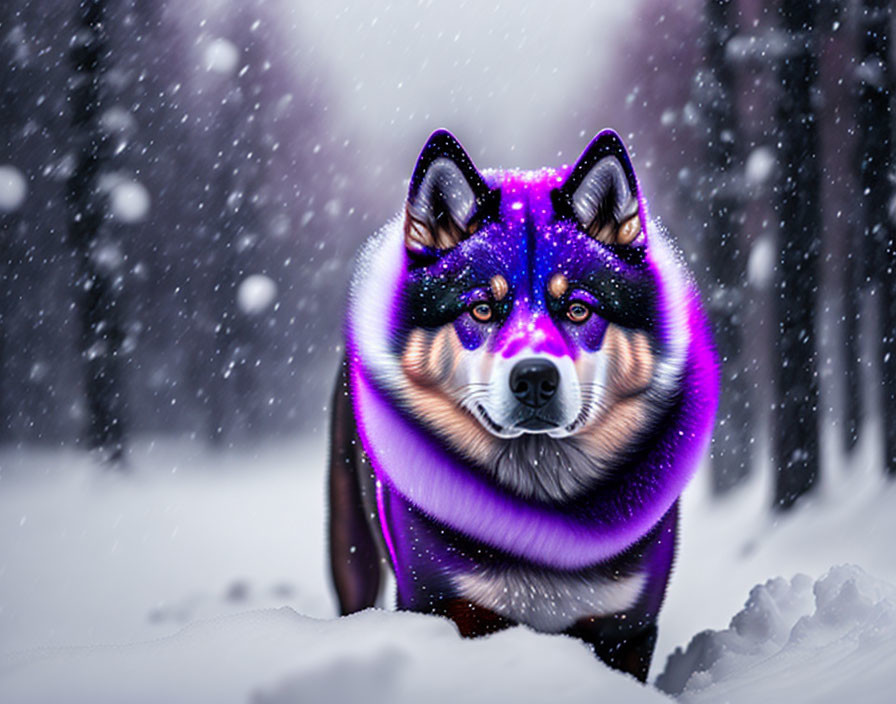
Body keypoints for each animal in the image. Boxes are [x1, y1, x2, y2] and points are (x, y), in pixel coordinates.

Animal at [326, 128, 716, 680]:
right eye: (481, 309)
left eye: (577, 309)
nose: (534, 379)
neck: (538, 505)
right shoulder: (445, 607)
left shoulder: (627, 627)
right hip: (350, 544)